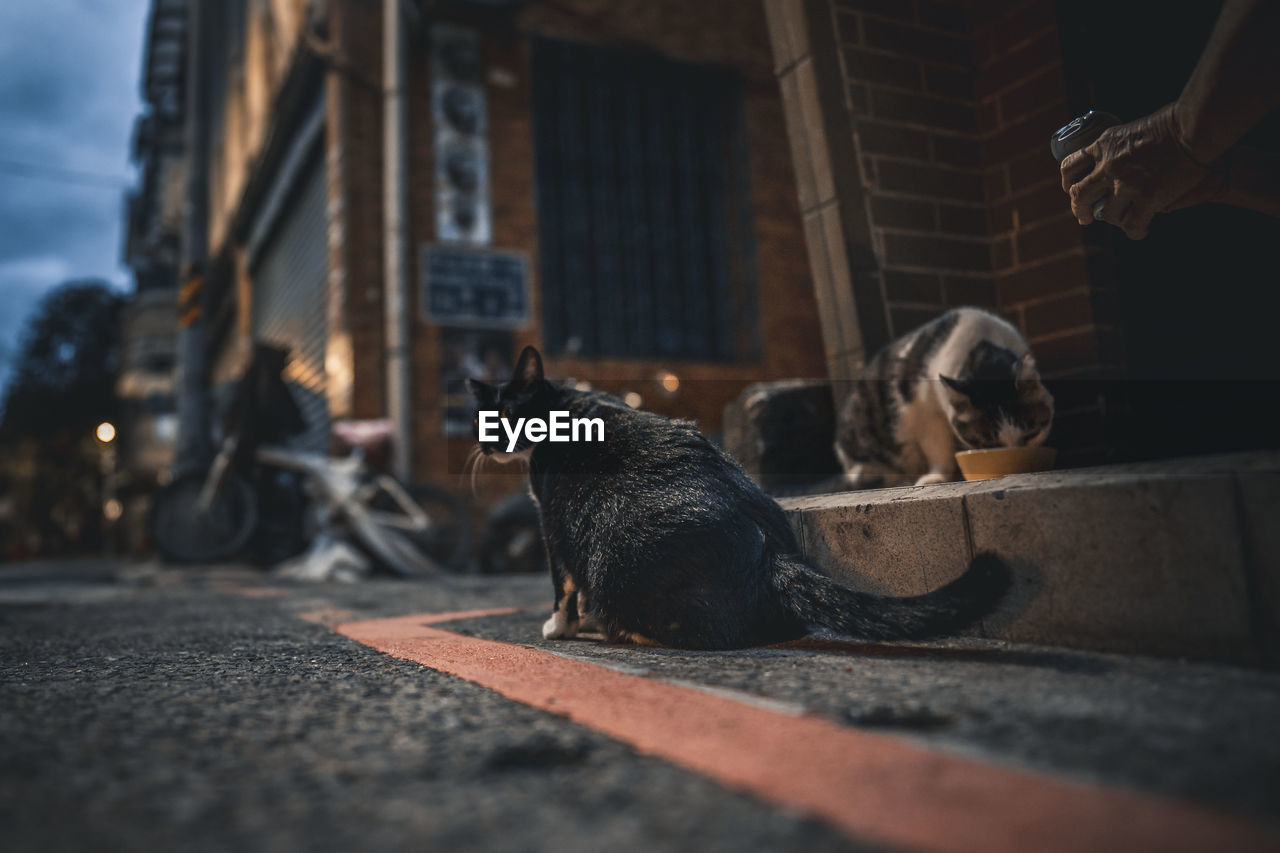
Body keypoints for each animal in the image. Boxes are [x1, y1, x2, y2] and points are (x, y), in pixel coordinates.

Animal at [465, 345, 1003, 650]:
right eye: (481, 419)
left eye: (505, 413)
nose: (487, 444)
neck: (567, 403)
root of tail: (769, 553)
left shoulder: (549, 518)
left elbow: (561, 583)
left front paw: (560, 627)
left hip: (613, 556)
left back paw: (616, 627)